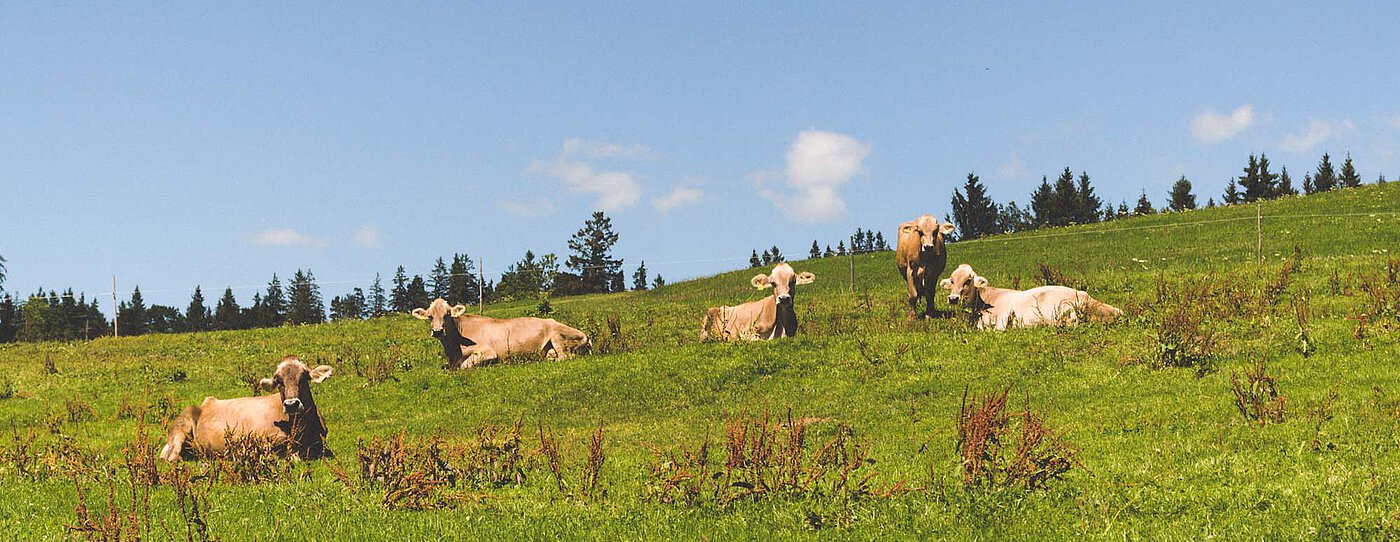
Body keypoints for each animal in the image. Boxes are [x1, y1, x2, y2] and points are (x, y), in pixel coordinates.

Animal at [158, 356, 333, 462]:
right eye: (278, 382)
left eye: (304, 377)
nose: (291, 404)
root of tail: (204, 403)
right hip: (181, 428)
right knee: (171, 457)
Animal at [412, 298, 590, 369]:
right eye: (430, 316)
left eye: (447, 315)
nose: (437, 331)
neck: (454, 349)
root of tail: (586, 336)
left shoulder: (488, 352)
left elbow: (464, 365)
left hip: (558, 337)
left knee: (565, 357)